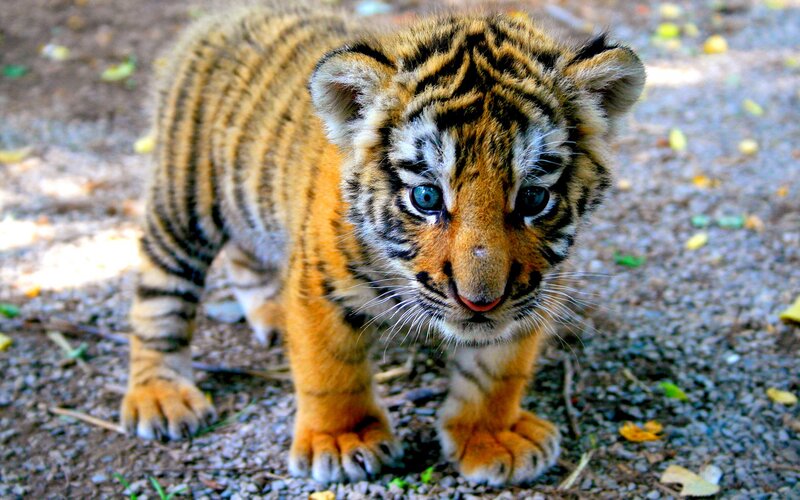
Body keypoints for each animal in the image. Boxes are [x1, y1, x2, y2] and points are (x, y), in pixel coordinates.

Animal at [121, 1, 644, 486]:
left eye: (534, 198)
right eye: (426, 197)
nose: (480, 302)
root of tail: (226, 15)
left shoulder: (534, 290)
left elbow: (498, 370)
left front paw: (491, 436)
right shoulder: (320, 283)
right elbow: (330, 369)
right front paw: (342, 440)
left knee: (245, 258)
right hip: (183, 203)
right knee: (159, 296)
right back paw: (161, 396)